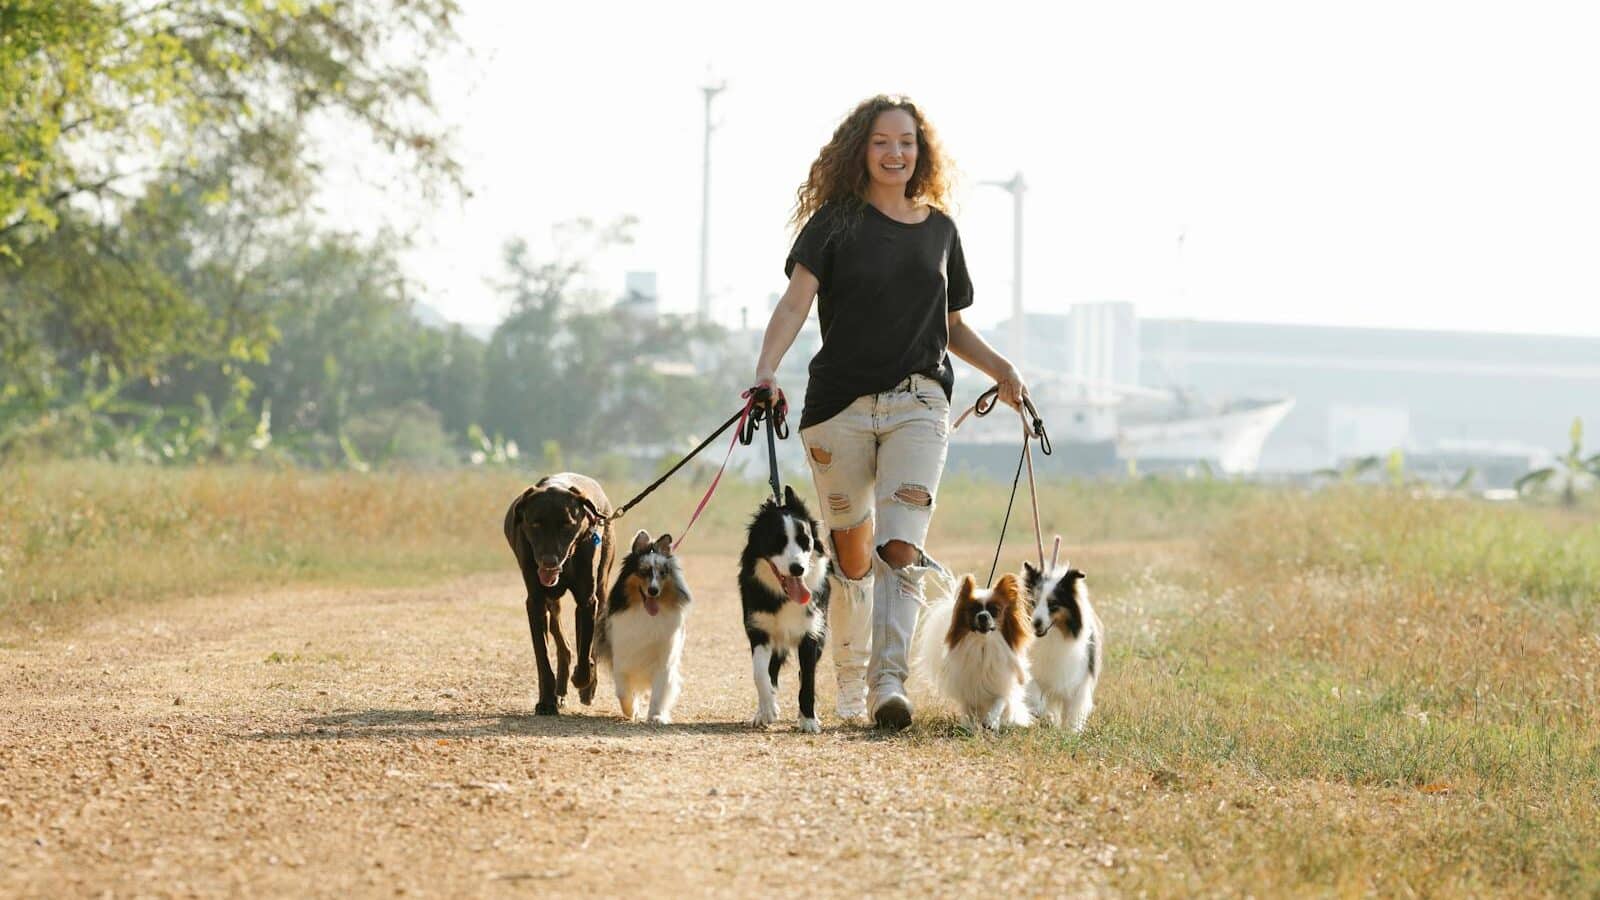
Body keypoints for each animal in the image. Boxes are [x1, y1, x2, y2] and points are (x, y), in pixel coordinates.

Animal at [502, 474, 614, 711]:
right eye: (535, 523)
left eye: (567, 525)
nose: (549, 562)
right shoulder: (535, 601)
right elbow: (542, 656)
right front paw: (546, 700)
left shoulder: (587, 601)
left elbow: (586, 650)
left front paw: (583, 679)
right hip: (552, 601)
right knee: (563, 642)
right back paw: (559, 692)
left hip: (601, 585)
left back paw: (585, 685)